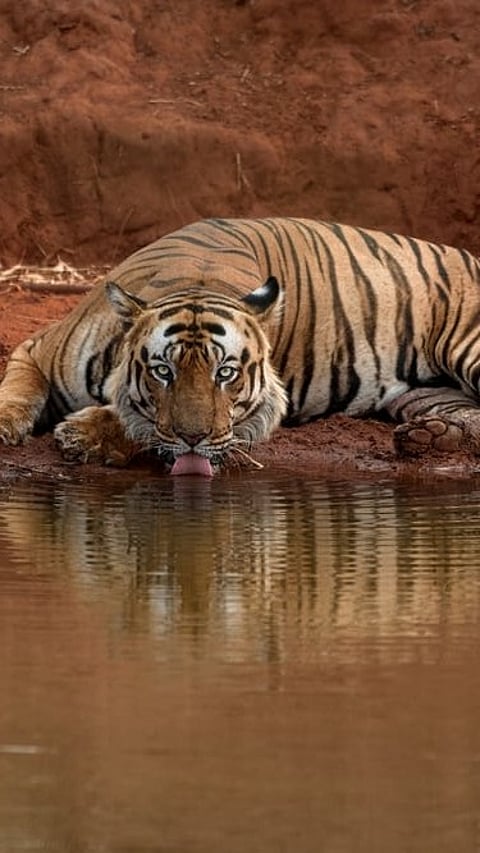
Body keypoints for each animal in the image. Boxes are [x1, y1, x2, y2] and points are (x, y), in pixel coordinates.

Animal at [2, 216, 480, 475]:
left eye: (226, 374)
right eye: (163, 372)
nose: (195, 439)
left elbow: (144, 426)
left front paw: (84, 435)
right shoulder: (34, 350)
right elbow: (19, 391)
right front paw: (7, 425)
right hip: (425, 395)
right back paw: (431, 438)